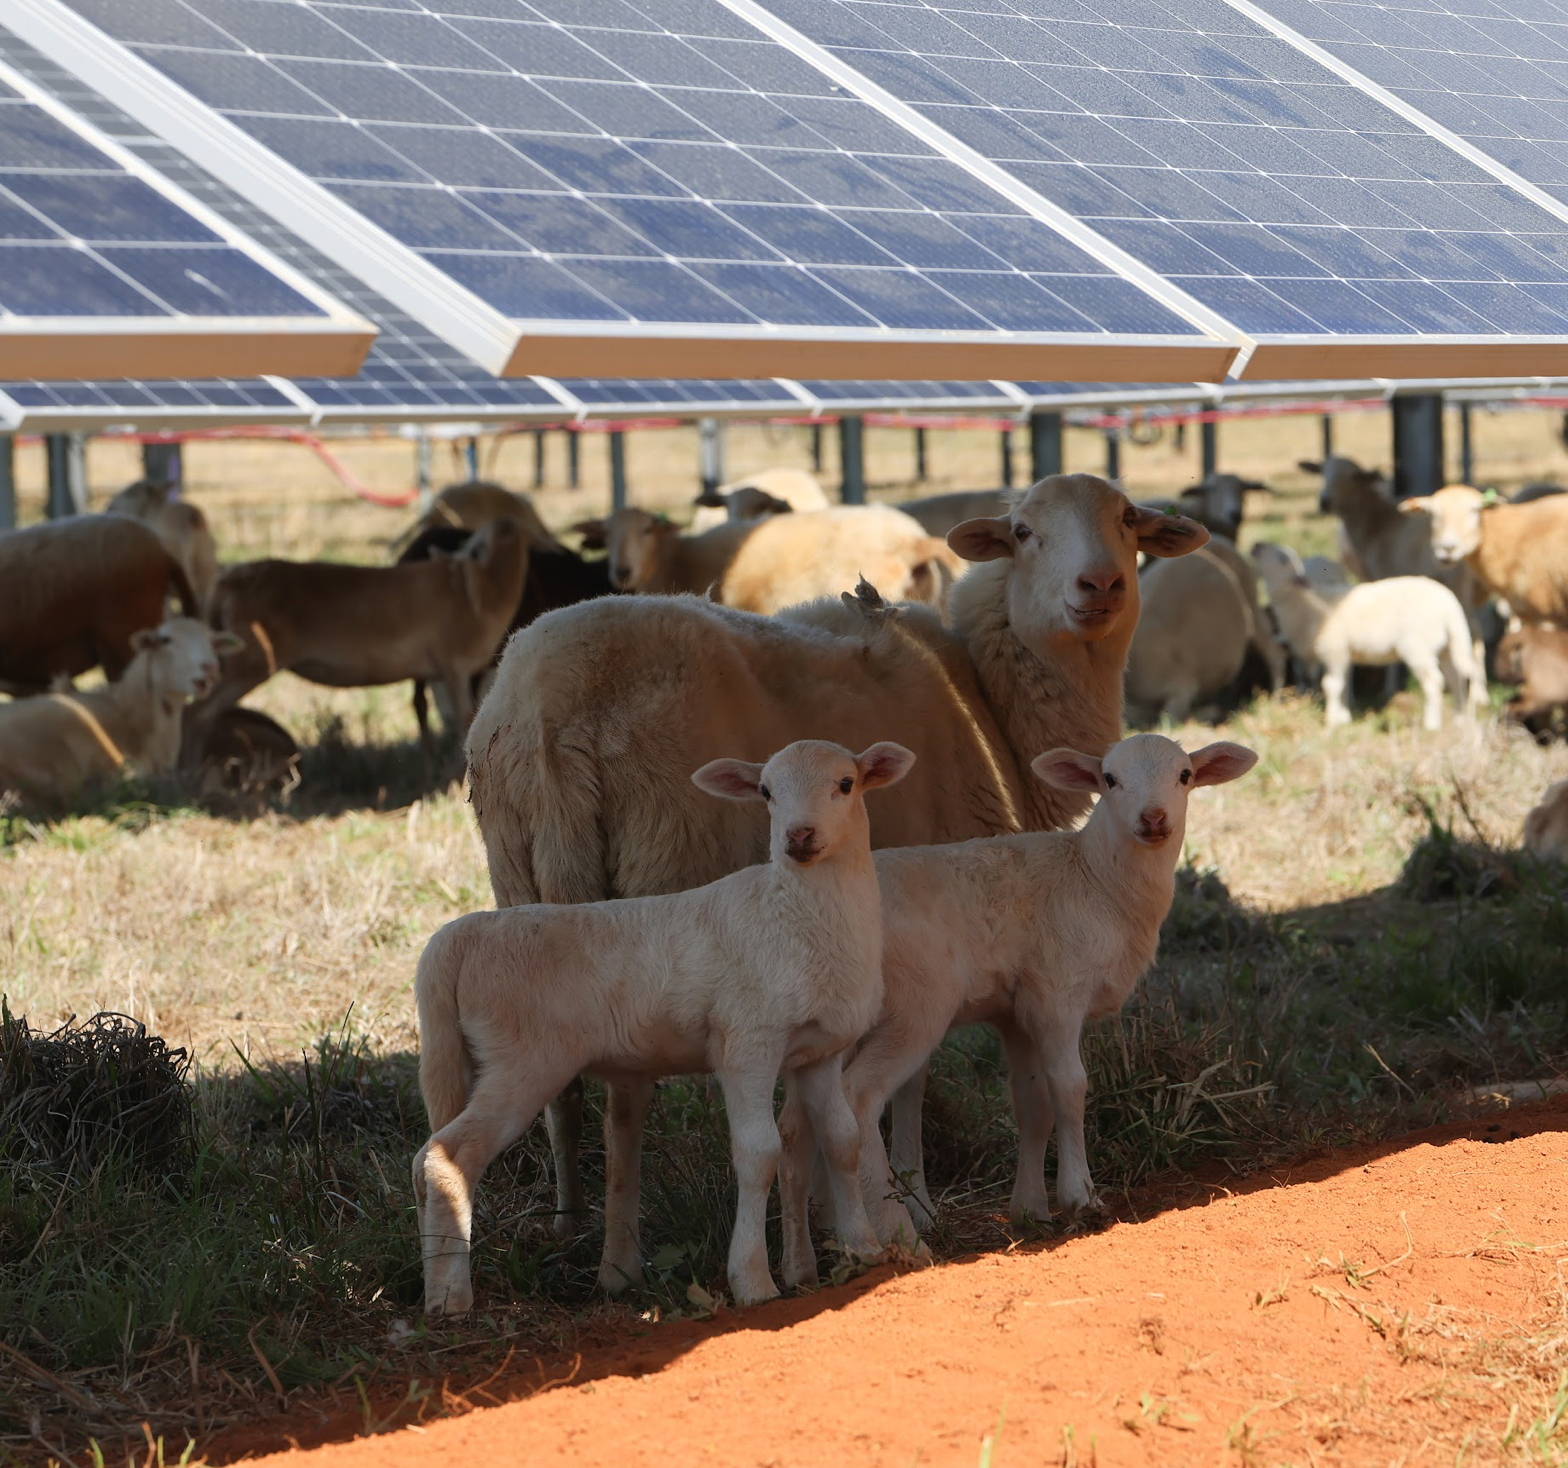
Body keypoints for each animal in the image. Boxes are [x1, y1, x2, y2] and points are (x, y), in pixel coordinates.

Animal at [186, 518, 527, 761]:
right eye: (475, 543)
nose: (506, 523)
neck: (489, 592)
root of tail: (228, 579)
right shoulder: (454, 667)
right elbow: (464, 723)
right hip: (250, 662)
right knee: (197, 713)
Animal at [413, 738, 915, 1313]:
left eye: (846, 784)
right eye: (766, 791)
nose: (798, 837)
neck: (794, 913)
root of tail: (457, 938)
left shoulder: (820, 1051)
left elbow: (842, 1141)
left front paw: (865, 1252)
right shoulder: (746, 1043)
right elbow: (759, 1153)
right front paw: (753, 1281)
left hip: (469, 1057)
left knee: (423, 1160)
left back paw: (433, 1276)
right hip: (523, 1058)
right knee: (448, 1157)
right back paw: (450, 1298)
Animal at [784, 733, 1257, 1251]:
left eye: (1185, 775)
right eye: (1109, 779)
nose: (1153, 819)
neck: (1097, 879)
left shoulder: (1017, 1012)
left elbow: (1034, 1105)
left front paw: (1030, 1211)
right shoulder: (1057, 993)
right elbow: (1070, 1088)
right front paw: (1080, 1197)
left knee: (807, 1114)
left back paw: (829, 1230)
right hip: (917, 1003)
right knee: (860, 1096)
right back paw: (898, 1233)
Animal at [1125, 538, 1284, 723]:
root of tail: (1220, 540)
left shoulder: (1181, 685)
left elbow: (1171, 718)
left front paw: (1208, 713)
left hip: (1251, 600)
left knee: (1272, 650)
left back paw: (1274, 699)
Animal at [1251, 542, 1481, 730]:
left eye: (1283, 558)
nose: (1256, 545)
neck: (1303, 606)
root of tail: (1449, 604)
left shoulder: (1334, 649)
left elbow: (1332, 685)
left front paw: (1332, 721)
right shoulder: (1342, 655)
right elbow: (1343, 685)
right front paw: (1343, 717)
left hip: (1418, 647)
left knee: (1434, 681)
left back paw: (1431, 724)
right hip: (1446, 646)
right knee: (1456, 679)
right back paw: (1460, 719)